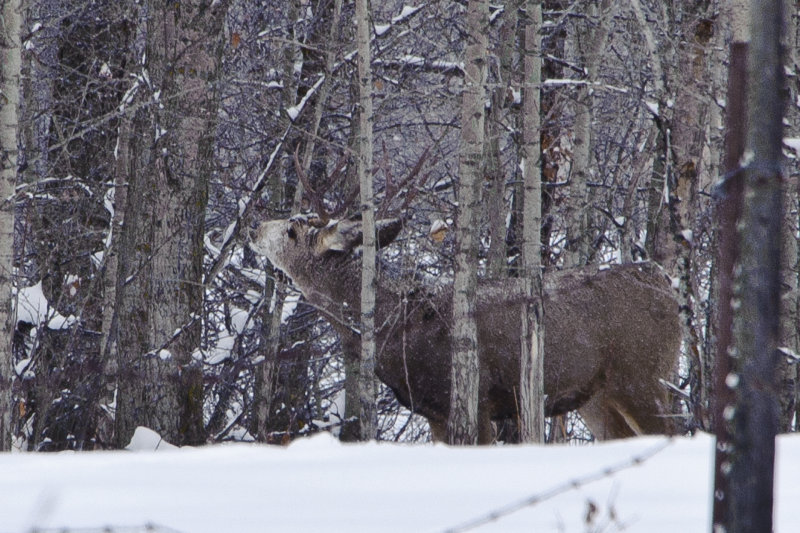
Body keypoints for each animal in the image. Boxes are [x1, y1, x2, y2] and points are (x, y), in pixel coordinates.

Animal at [250, 214, 680, 442]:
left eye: (291, 230)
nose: (254, 227)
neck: (398, 322)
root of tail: (666, 282)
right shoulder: (434, 411)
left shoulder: (476, 398)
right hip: (596, 395)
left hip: (644, 375)